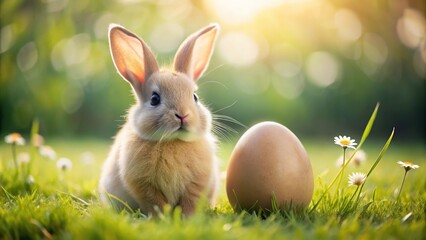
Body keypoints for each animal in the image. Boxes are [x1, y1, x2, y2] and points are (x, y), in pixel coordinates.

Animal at [98, 23, 221, 217]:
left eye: (195, 97)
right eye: (155, 99)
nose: (182, 115)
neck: (173, 141)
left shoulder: (197, 182)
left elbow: (190, 200)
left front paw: (187, 218)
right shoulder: (143, 184)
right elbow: (155, 202)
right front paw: (162, 218)